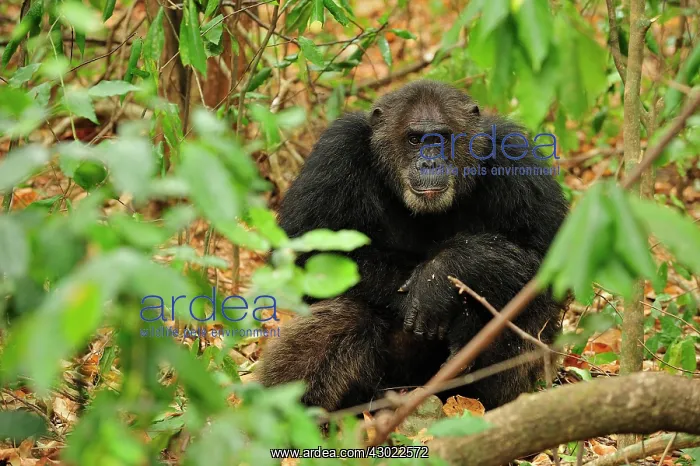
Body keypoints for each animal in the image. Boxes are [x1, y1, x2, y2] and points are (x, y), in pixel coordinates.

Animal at [258, 80, 569, 411]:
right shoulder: (336, 152)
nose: (429, 161)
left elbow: (545, 256)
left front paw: (440, 278)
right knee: (347, 315)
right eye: (414, 139)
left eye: (441, 138)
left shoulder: (517, 160)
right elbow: (304, 249)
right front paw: (433, 294)